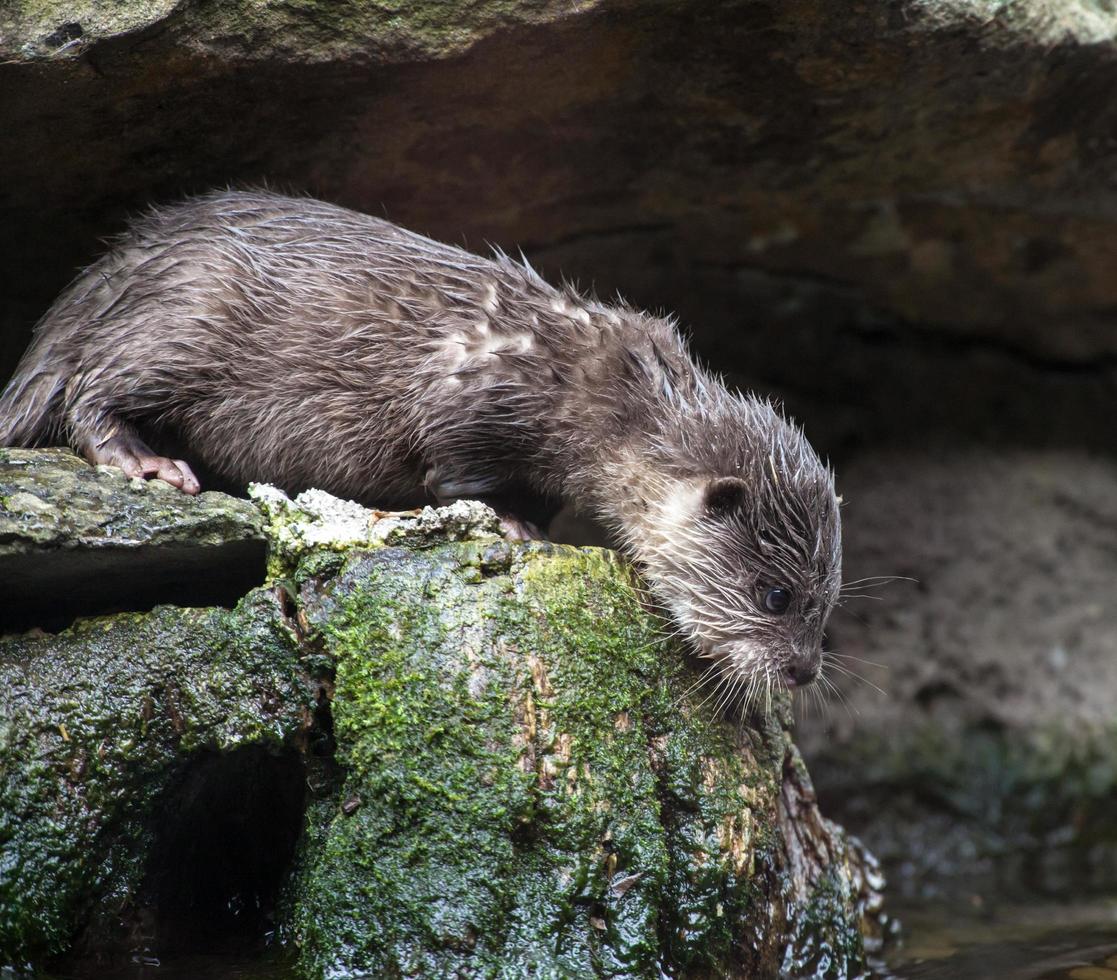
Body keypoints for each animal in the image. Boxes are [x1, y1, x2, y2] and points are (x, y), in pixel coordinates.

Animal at [0, 188, 839, 697]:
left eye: (826, 605)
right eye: (774, 595)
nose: (801, 671)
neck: (603, 397)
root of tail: (112, 267)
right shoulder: (473, 394)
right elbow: (453, 470)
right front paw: (515, 525)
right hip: (182, 321)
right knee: (91, 387)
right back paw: (148, 462)